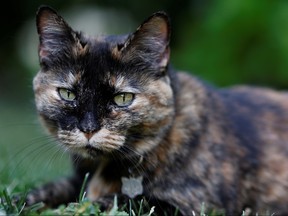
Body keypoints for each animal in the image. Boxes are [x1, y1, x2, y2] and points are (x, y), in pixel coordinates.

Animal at [25, 5, 288, 216]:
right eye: (67, 94)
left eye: (123, 98)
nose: (88, 129)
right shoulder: (77, 180)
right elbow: (48, 190)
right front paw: (26, 200)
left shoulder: (194, 205)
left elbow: (122, 201)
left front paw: (76, 208)